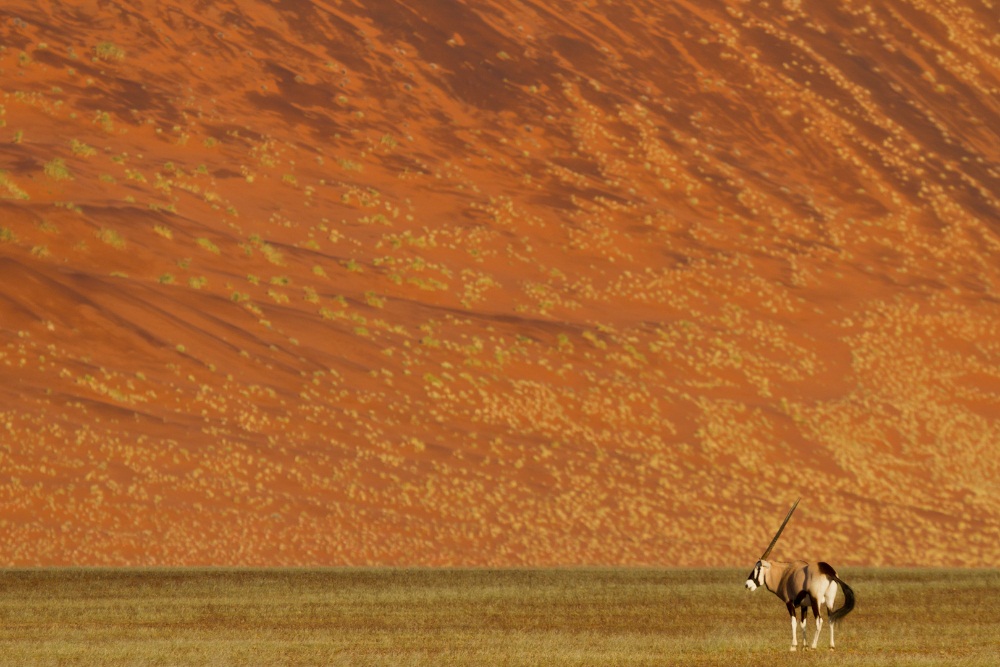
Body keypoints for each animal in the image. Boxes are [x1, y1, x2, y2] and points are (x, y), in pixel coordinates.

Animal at [748, 500, 856, 652]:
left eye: (758, 567)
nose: (747, 584)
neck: (784, 573)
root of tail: (828, 571)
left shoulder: (790, 602)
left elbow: (793, 622)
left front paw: (794, 646)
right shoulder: (805, 605)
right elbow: (803, 623)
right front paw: (804, 646)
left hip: (816, 600)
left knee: (820, 620)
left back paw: (814, 645)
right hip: (829, 600)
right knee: (831, 618)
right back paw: (831, 646)